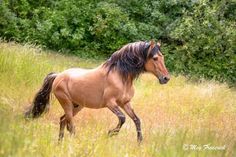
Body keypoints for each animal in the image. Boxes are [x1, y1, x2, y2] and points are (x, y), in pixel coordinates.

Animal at [25, 40, 170, 142]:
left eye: (162, 57)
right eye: (155, 58)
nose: (166, 78)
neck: (120, 76)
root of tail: (58, 76)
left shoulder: (125, 103)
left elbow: (136, 119)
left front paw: (139, 141)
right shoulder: (110, 103)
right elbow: (122, 118)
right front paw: (110, 133)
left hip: (77, 106)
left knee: (62, 120)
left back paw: (60, 143)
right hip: (66, 103)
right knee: (70, 125)